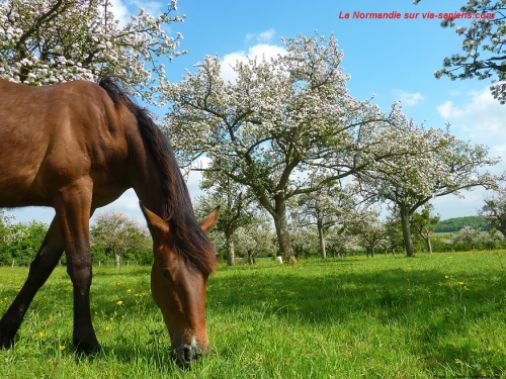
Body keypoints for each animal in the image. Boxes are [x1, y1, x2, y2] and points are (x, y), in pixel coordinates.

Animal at [0, 77, 216, 366]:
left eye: (207, 272)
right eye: (166, 273)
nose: (193, 352)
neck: (104, 125)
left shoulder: (79, 203)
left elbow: (41, 267)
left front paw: (5, 334)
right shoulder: (73, 193)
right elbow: (80, 266)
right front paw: (87, 344)